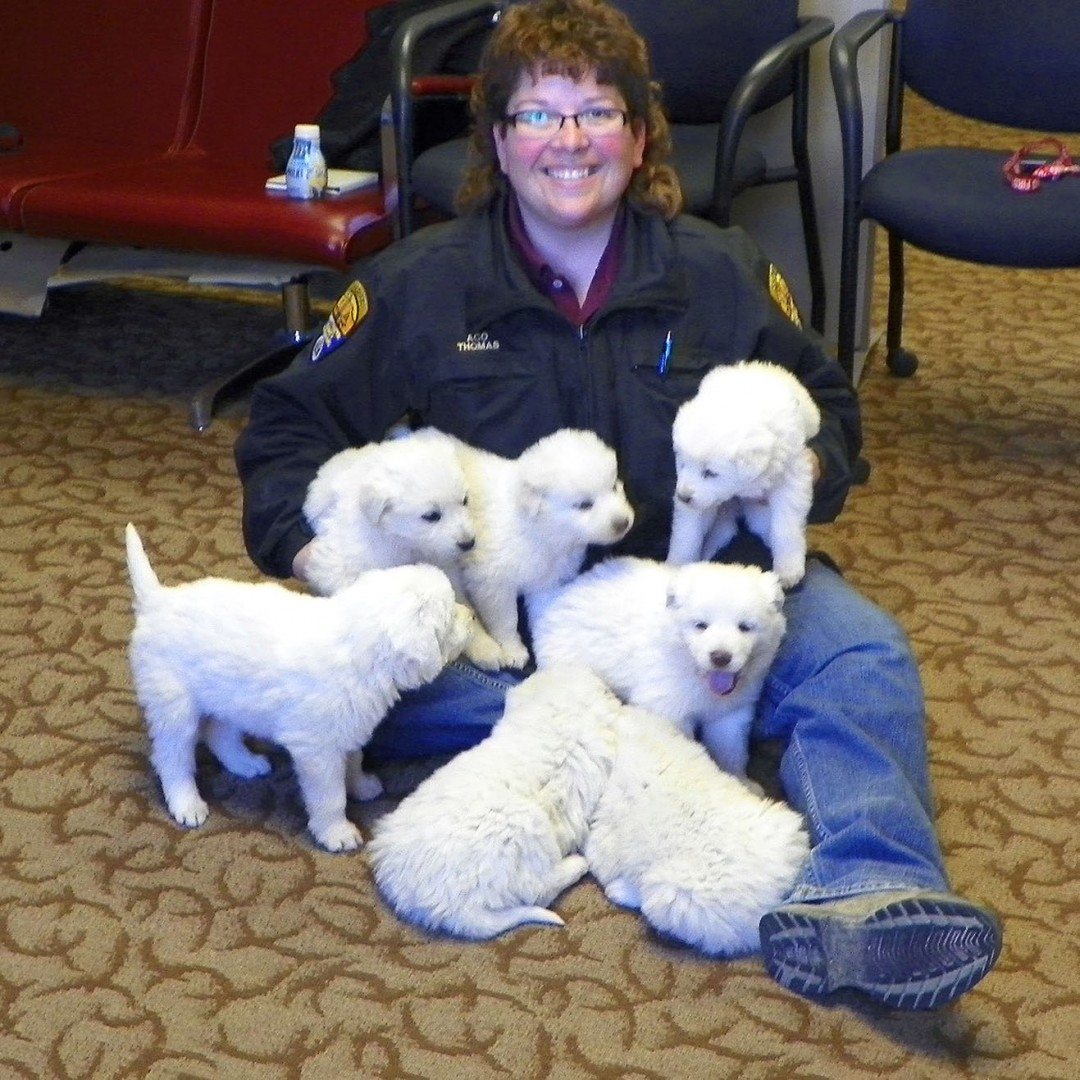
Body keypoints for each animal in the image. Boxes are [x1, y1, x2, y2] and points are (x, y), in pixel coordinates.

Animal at [124, 522, 470, 851]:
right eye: (451, 614)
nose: (470, 617)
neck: (358, 645)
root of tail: (157, 600)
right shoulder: (316, 747)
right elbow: (331, 796)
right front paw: (336, 832)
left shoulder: (347, 726)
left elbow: (354, 759)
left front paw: (361, 785)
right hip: (173, 704)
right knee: (172, 757)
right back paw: (187, 803)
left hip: (231, 695)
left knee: (218, 732)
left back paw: (245, 763)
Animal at [529, 557, 786, 777]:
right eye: (700, 625)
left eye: (745, 627)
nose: (720, 657)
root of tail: (557, 599)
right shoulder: (668, 710)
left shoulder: (732, 714)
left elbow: (732, 753)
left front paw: (741, 781)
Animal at [665, 358, 816, 587]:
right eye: (682, 464)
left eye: (710, 473)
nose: (683, 497)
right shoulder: (700, 501)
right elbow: (687, 533)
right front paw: (675, 566)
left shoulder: (792, 477)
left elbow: (785, 525)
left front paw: (788, 568)